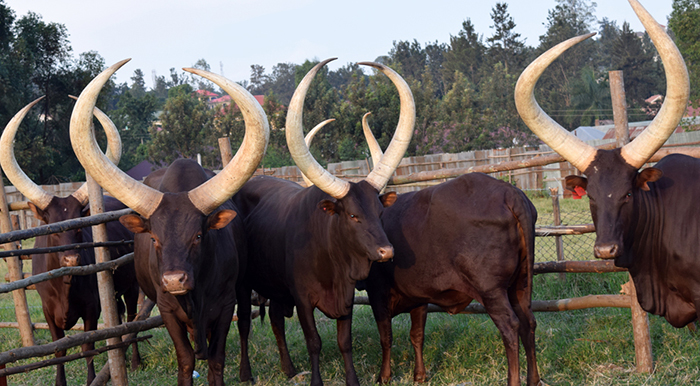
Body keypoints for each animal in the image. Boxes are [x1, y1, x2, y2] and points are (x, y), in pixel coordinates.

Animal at [0, 98, 139, 384]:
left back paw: (134, 362)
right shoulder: (48, 312)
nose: (72, 259)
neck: (64, 284)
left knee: (132, 319)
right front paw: (59, 381)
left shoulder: (92, 309)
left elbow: (87, 346)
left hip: (132, 286)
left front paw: (92, 379)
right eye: (52, 227)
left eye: (78, 225)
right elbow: (59, 350)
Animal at [69, 58, 270, 384]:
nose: (174, 280)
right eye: (154, 238)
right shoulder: (166, 309)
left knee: (243, 326)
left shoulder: (225, 304)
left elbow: (217, 358)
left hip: (241, 288)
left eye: (198, 236)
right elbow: (186, 359)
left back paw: (246, 373)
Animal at [232, 58, 412, 386]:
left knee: (275, 320)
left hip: (276, 288)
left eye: (380, 213)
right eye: (353, 215)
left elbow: (344, 341)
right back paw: (245, 373)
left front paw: (352, 380)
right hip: (242, 284)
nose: (386, 252)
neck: (332, 261)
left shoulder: (346, 298)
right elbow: (313, 341)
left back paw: (289, 369)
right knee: (243, 327)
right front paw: (316, 381)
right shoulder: (303, 300)